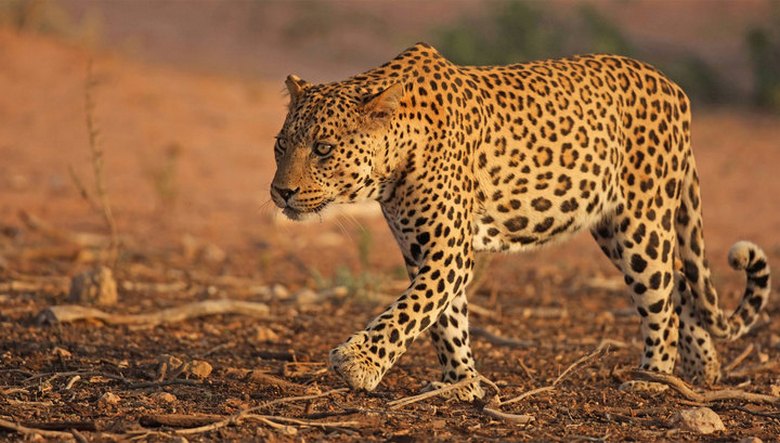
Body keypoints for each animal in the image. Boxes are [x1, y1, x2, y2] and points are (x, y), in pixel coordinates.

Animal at [270, 42, 771, 401]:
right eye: (281, 145)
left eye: (323, 149)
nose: (280, 192)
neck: (392, 162)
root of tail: (674, 87)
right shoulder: (422, 249)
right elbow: (443, 318)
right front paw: (461, 383)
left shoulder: (448, 252)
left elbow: (409, 310)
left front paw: (359, 362)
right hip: (612, 228)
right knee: (679, 284)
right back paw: (701, 369)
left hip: (640, 224)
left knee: (662, 303)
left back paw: (653, 378)